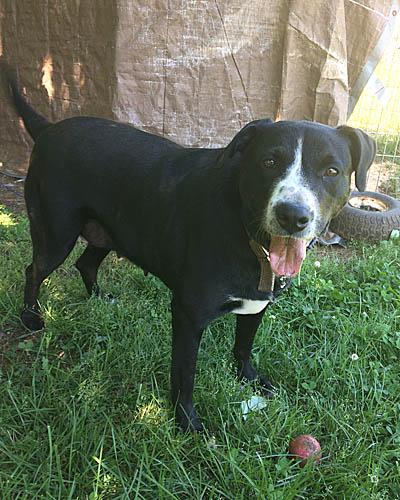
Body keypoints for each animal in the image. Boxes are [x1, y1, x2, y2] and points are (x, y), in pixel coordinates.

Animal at [2, 66, 376, 432]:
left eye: (332, 170)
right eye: (269, 162)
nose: (293, 215)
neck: (246, 233)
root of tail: (50, 128)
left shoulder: (257, 304)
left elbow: (243, 346)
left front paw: (249, 379)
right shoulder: (189, 314)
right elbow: (185, 375)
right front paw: (186, 421)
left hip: (110, 230)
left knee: (86, 264)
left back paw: (99, 297)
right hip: (56, 233)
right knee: (34, 269)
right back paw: (31, 316)